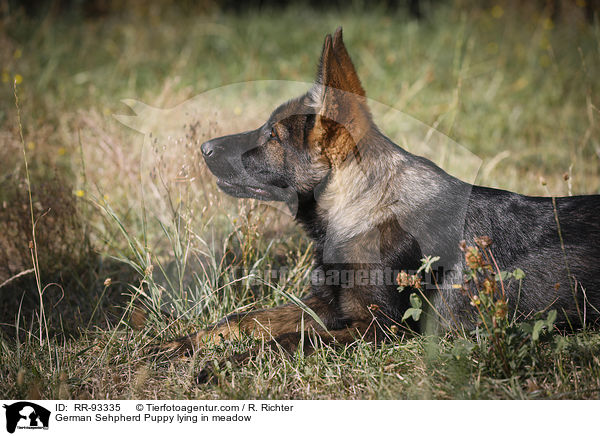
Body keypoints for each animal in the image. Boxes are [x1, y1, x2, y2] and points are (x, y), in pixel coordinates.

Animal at [161, 28, 600, 362]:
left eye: (272, 135)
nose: (204, 148)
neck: (362, 208)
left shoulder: (380, 326)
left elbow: (289, 339)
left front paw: (228, 362)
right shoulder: (325, 303)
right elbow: (245, 319)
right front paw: (186, 342)